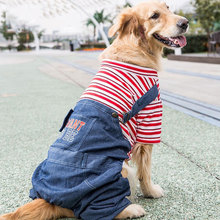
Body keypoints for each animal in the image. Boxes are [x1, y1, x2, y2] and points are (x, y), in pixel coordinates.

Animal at [0, 0, 187, 219]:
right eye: (154, 15)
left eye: (168, 8)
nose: (185, 23)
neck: (136, 48)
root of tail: (50, 199)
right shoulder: (150, 120)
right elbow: (145, 169)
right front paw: (151, 191)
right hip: (119, 171)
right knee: (94, 211)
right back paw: (130, 209)